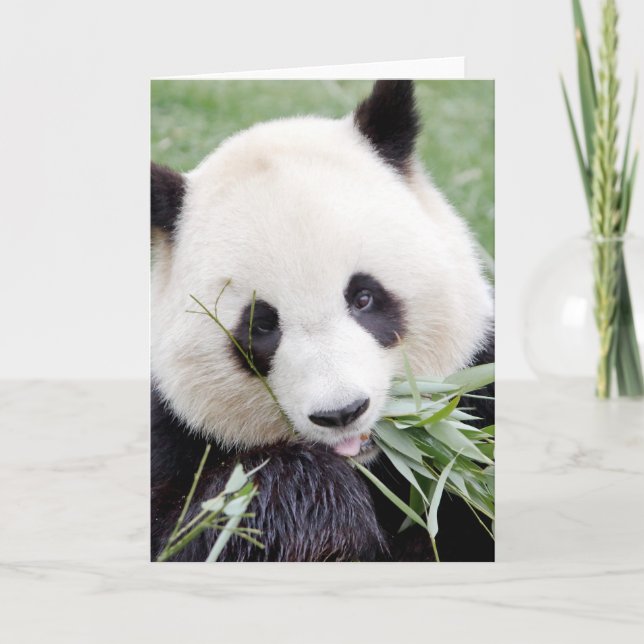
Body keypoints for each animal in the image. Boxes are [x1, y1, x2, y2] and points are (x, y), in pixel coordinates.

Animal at [151, 80, 494, 562]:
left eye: (363, 297)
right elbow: (192, 529)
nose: (342, 412)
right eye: (261, 326)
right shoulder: (170, 433)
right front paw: (322, 510)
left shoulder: (479, 389)